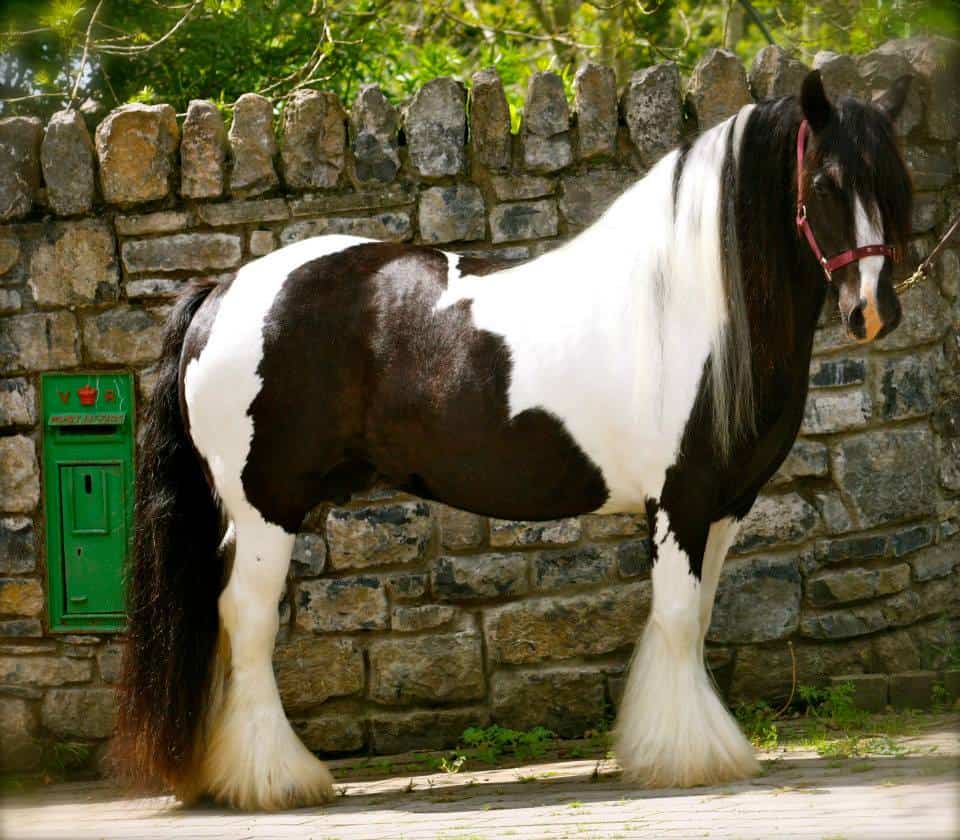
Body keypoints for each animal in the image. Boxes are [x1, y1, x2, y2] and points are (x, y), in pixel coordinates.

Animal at [115, 70, 913, 810]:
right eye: (827, 182)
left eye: (894, 179)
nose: (873, 310)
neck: (690, 309)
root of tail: (224, 291)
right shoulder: (679, 504)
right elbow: (679, 618)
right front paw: (686, 757)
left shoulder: (723, 507)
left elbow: (697, 621)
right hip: (265, 509)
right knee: (245, 622)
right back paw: (275, 780)